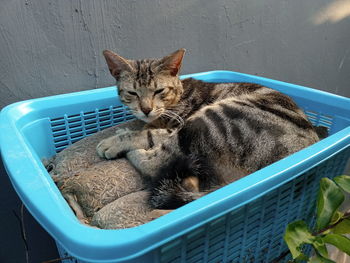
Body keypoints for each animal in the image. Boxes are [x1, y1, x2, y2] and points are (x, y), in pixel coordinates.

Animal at [95, 49, 320, 210]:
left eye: (159, 90)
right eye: (132, 93)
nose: (146, 109)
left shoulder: (176, 125)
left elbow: (147, 134)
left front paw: (118, 139)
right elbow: (148, 127)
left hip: (211, 119)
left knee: (155, 161)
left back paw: (130, 152)